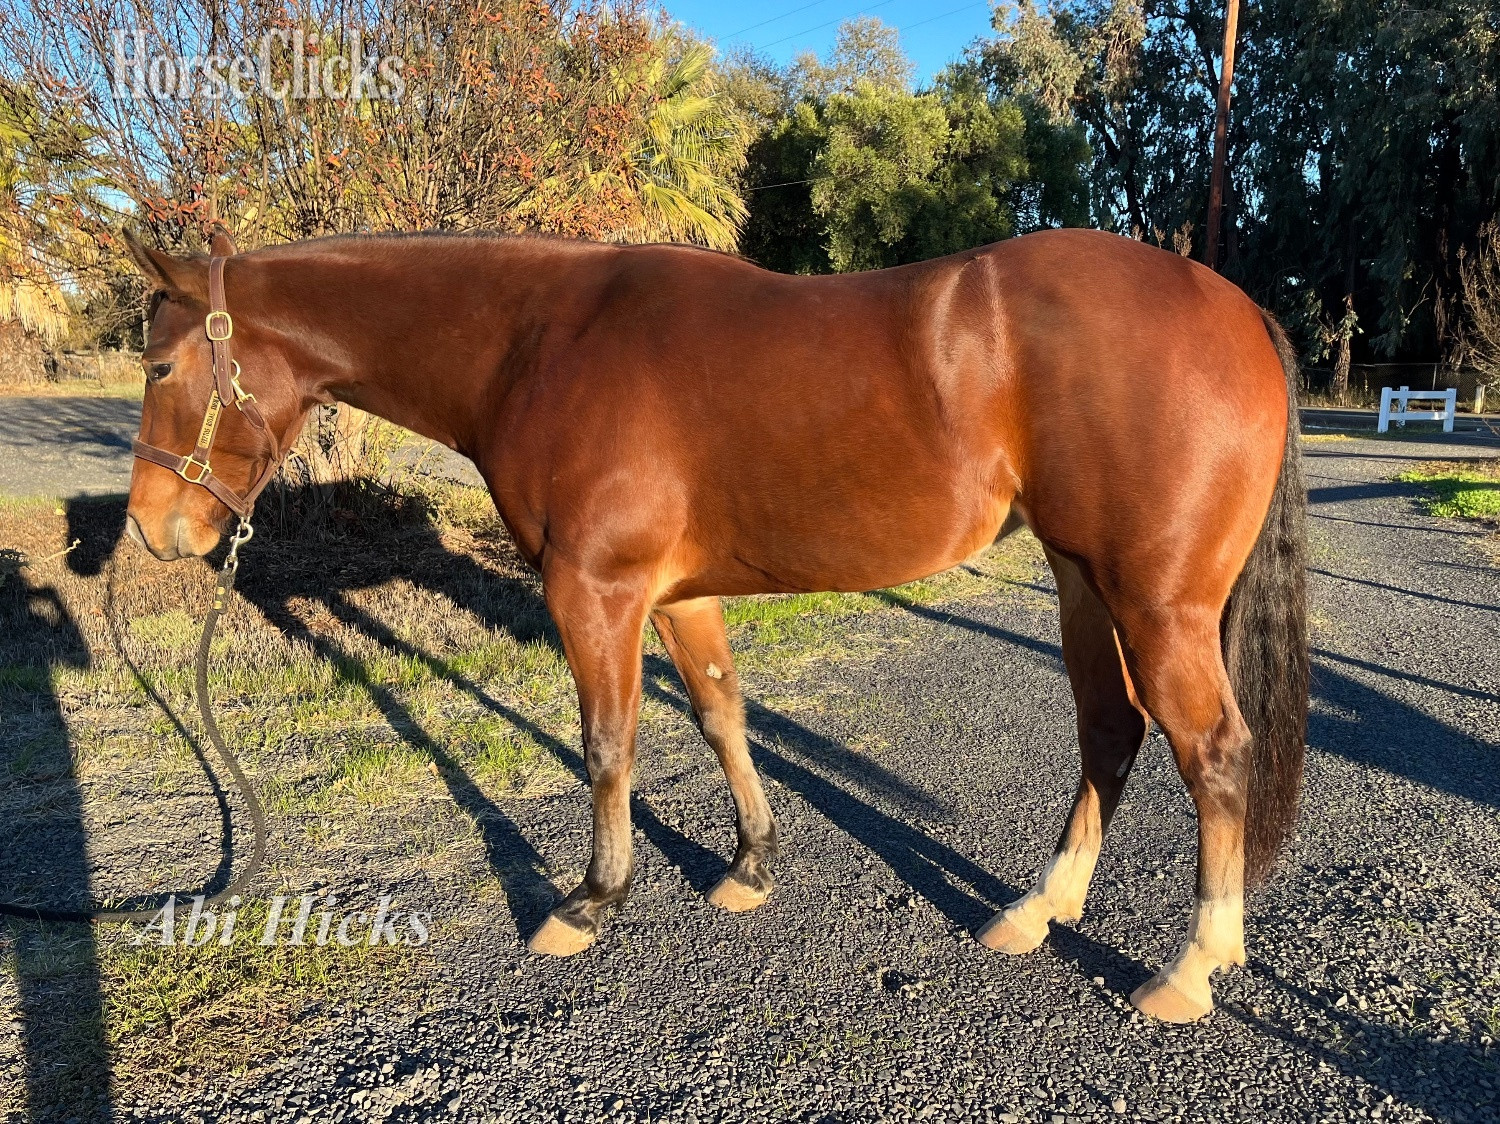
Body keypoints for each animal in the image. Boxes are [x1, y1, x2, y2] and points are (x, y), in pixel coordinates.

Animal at [121, 224, 1307, 1023]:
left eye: (161, 364)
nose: (151, 526)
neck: (539, 340)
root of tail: (1238, 308)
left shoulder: (594, 593)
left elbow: (609, 748)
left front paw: (589, 901)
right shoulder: (679, 597)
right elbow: (722, 716)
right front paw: (750, 864)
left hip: (1157, 603)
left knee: (1212, 751)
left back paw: (1190, 967)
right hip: (1080, 583)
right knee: (1111, 732)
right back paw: (1036, 910)